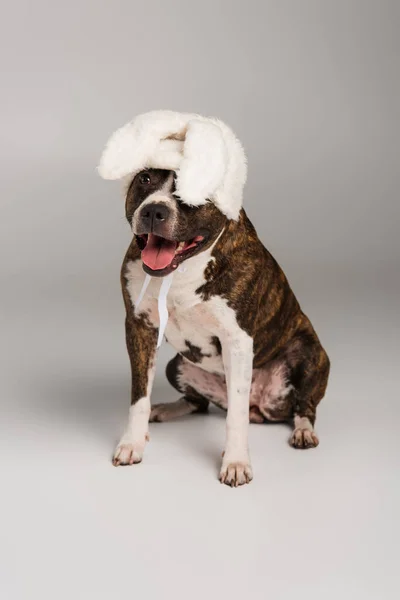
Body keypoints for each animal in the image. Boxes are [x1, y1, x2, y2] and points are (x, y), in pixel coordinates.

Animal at [98, 112, 330, 488]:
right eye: (145, 178)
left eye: (190, 189)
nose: (154, 211)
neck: (181, 270)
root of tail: (262, 407)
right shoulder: (140, 327)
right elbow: (139, 397)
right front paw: (133, 442)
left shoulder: (237, 340)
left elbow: (235, 415)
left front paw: (235, 462)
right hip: (177, 365)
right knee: (199, 403)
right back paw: (165, 410)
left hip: (310, 353)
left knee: (302, 407)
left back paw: (303, 431)